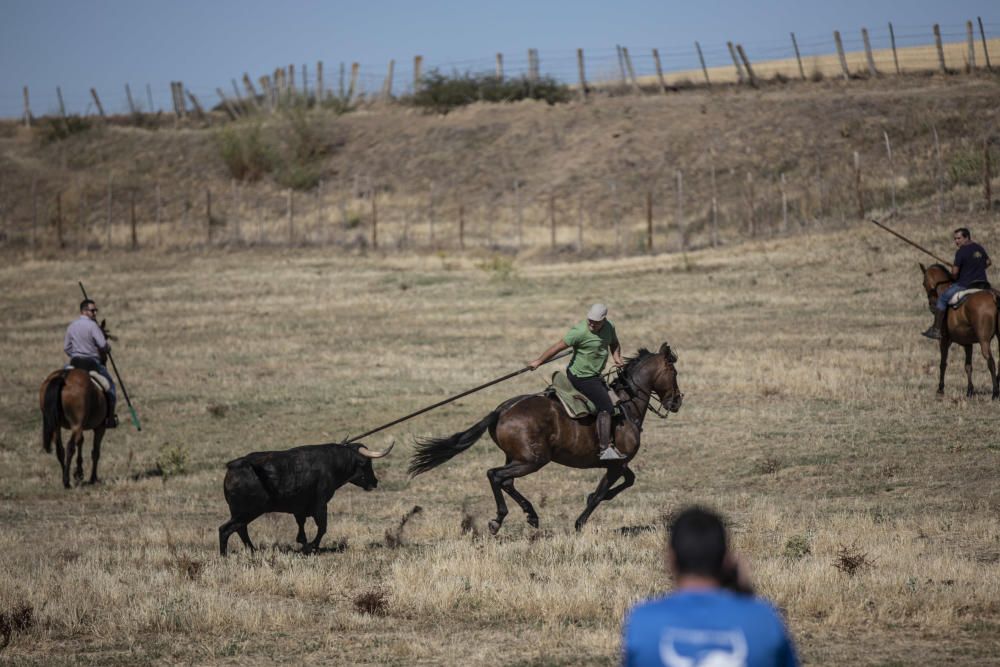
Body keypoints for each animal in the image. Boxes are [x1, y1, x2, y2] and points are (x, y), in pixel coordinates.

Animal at [406, 342, 680, 536]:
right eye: (674, 371)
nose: (677, 401)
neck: (626, 405)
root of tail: (502, 410)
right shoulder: (615, 464)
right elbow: (601, 494)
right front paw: (580, 522)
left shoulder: (619, 464)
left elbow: (628, 481)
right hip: (533, 460)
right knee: (495, 475)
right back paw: (501, 519)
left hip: (518, 457)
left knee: (505, 481)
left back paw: (528, 515)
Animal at [920, 264, 1000, 400]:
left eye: (924, 283)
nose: (932, 305)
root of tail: (993, 296)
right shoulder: (968, 343)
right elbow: (968, 366)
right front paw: (970, 391)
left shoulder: (944, 340)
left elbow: (943, 363)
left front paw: (940, 389)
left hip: (984, 340)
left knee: (991, 361)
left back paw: (995, 392)